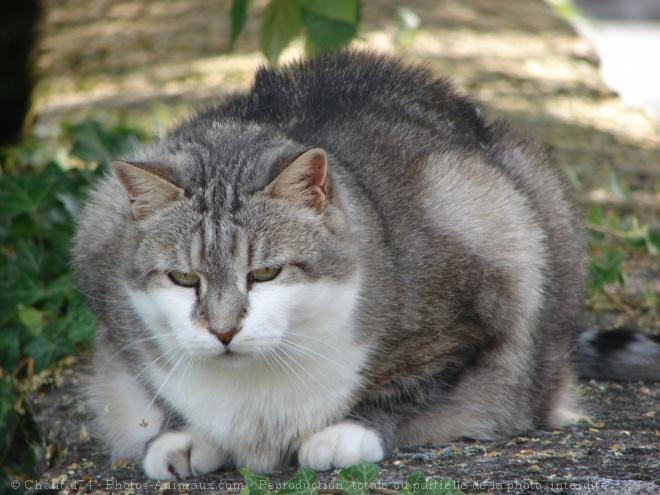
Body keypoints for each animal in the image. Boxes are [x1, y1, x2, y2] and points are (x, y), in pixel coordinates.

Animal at [73, 51, 660, 480]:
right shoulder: (107, 282)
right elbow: (159, 391)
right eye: (183, 278)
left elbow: (408, 385)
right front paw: (181, 436)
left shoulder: (487, 274)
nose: (222, 332)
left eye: (265, 273)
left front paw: (345, 433)